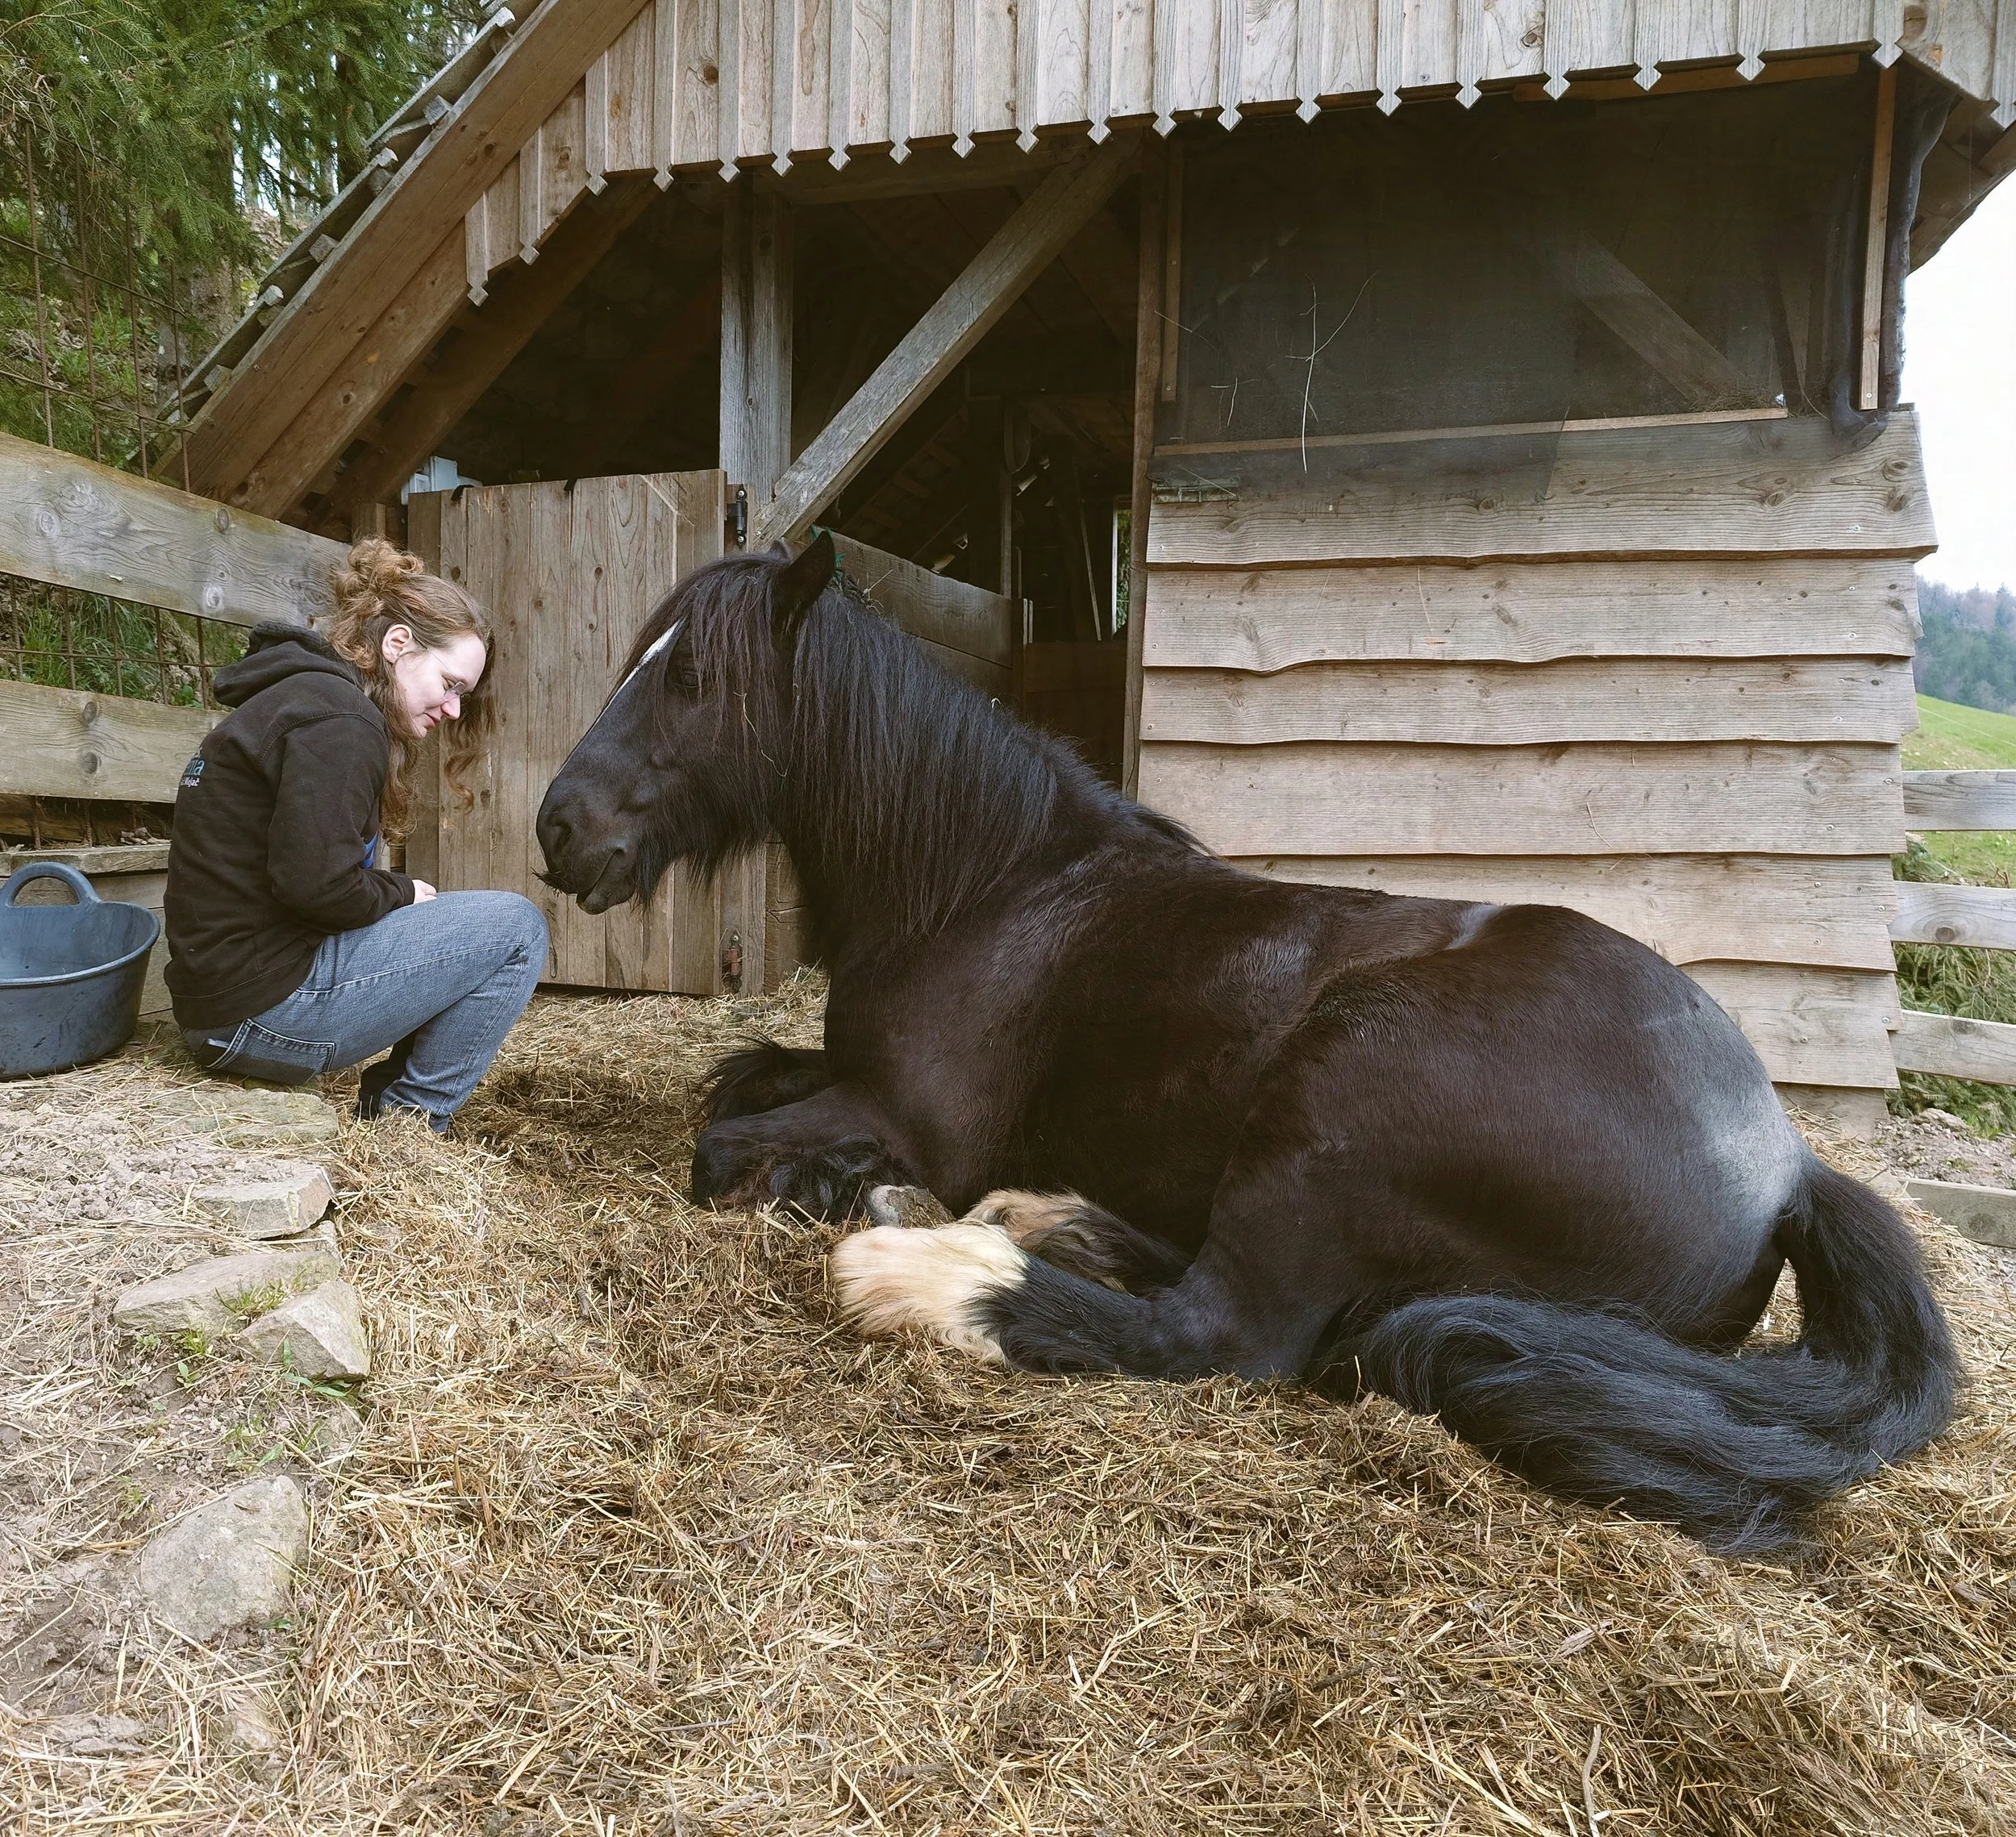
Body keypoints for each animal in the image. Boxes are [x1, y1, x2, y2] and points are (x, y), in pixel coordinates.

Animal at [535, 531, 1958, 1554]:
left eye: (694, 678)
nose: (557, 827)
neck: (991, 886)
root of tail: (1784, 1167)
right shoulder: (850, 1077)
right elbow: (738, 1078)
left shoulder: (910, 1116)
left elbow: (723, 1145)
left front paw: (835, 1191)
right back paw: (1033, 1217)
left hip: (1342, 1088)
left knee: (1223, 1331)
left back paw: (926, 1269)